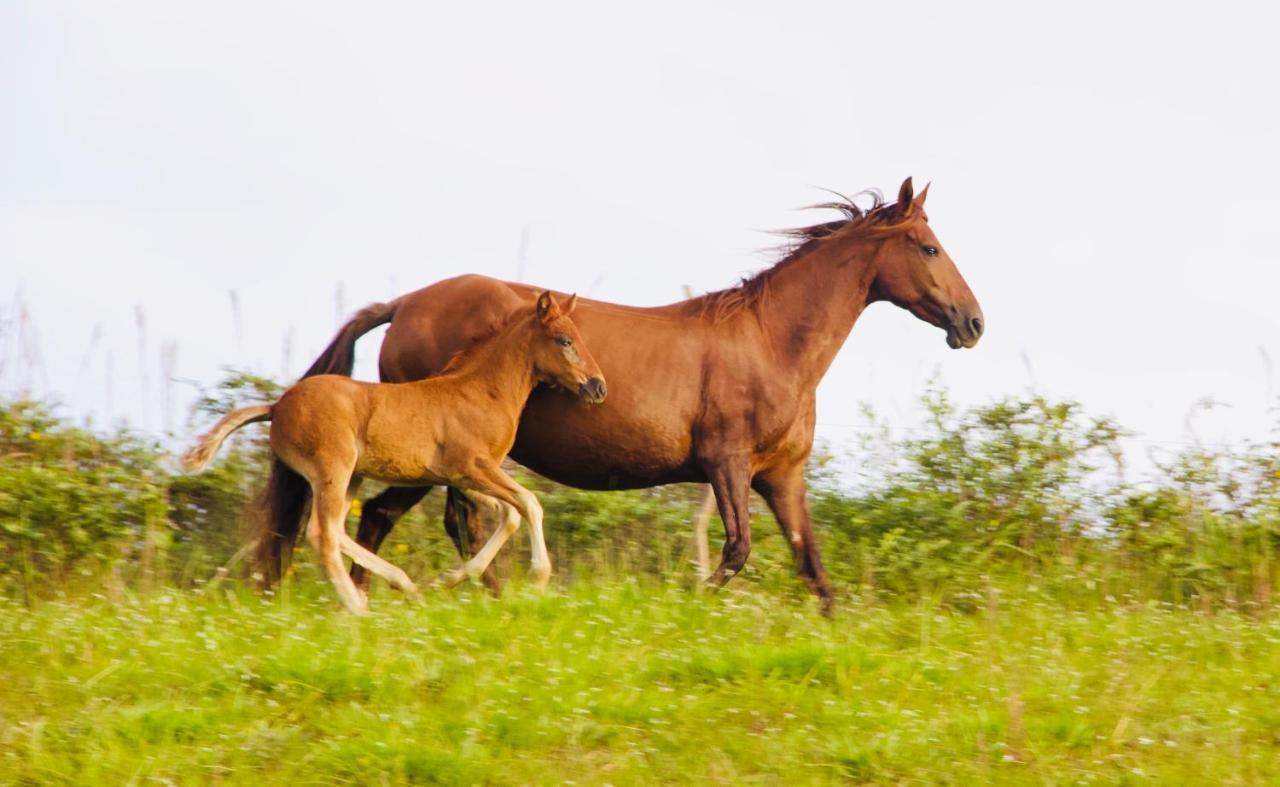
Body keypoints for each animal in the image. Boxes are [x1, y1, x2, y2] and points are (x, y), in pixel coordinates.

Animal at [180, 293, 604, 611]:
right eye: (565, 340)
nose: (597, 386)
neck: (483, 392)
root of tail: (276, 406)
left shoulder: (463, 476)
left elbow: (509, 514)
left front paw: (449, 579)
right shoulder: (473, 467)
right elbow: (530, 504)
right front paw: (538, 578)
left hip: (350, 477)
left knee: (335, 530)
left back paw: (404, 586)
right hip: (332, 470)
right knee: (322, 534)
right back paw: (359, 607)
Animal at [262, 175, 977, 611]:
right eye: (928, 247)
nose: (973, 323)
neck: (772, 343)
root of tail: (405, 303)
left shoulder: (782, 477)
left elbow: (815, 571)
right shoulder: (726, 463)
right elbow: (735, 552)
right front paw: (689, 607)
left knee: (387, 517)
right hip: (445, 457)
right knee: (434, 521)